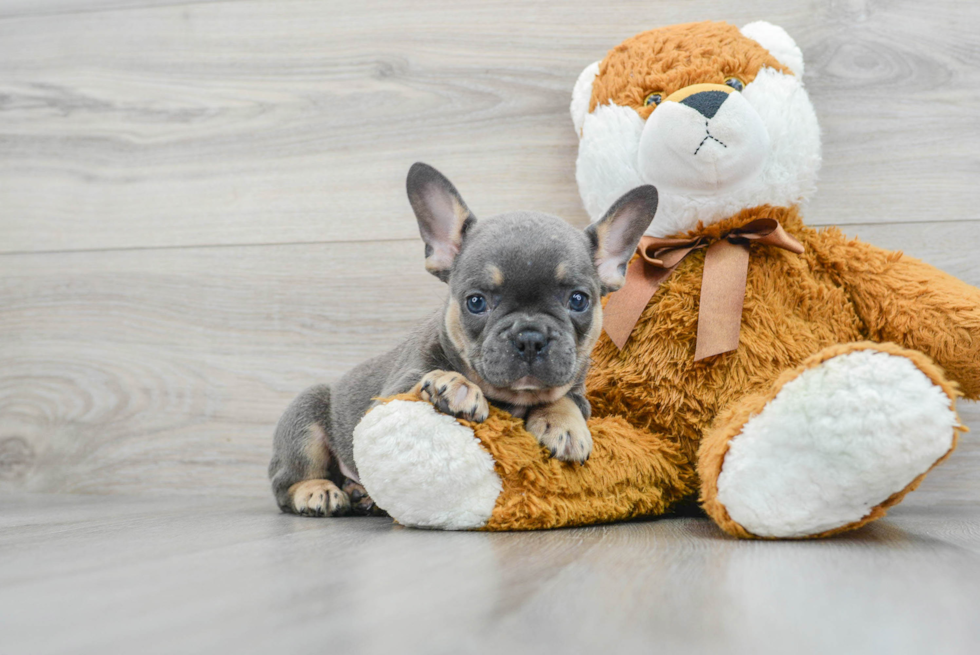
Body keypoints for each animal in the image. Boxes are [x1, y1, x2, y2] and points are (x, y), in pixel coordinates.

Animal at [268, 163, 660, 516]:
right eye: (476, 302)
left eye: (578, 300)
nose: (530, 336)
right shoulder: (389, 397)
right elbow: (423, 382)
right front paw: (452, 384)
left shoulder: (578, 393)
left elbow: (563, 400)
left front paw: (563, 425)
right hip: (305, 423)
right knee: (285, 483)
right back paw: (320, 490)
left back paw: (361, 494)